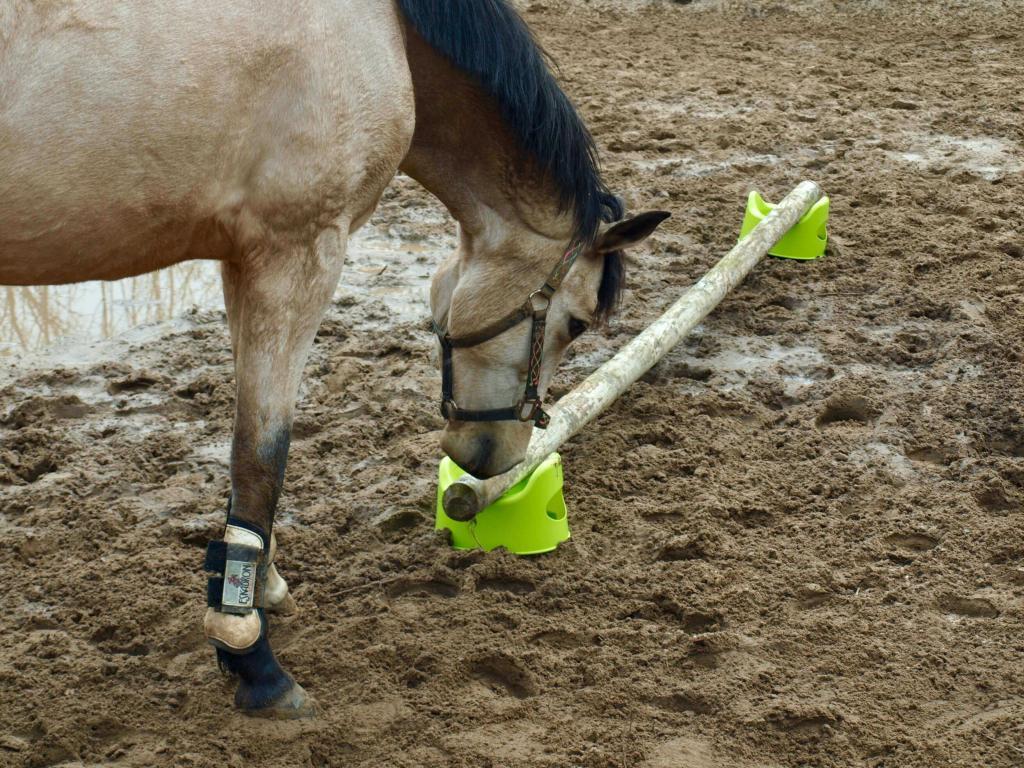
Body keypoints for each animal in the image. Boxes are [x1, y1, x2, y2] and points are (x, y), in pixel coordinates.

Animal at [0, 0, 667, 720]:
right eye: (577, 322)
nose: (495, 458)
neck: (385, 30)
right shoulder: (300, 253)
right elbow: (263, 452)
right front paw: (248, 651)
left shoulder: (244, 262)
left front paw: (258, 584)